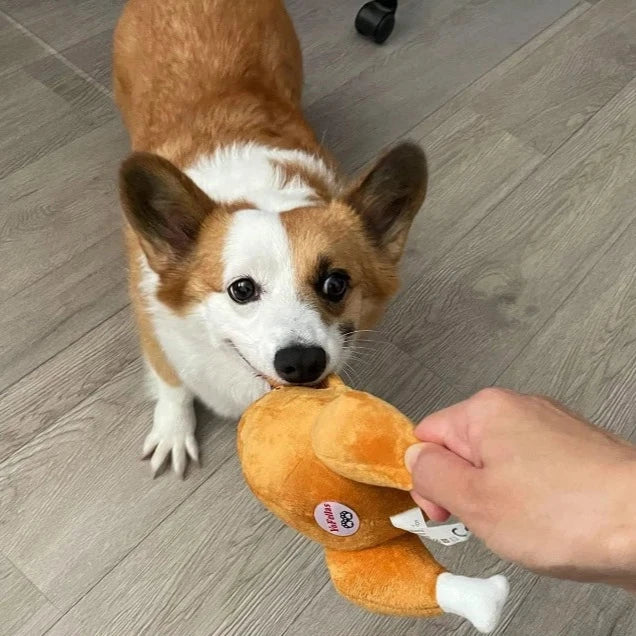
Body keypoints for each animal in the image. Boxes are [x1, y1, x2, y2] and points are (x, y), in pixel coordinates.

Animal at [113, 0, 428, 476]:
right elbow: (172, 383)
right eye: (241, 289)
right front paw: (173, 431)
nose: (301, 362)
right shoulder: (152, 324)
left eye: (335, 283)